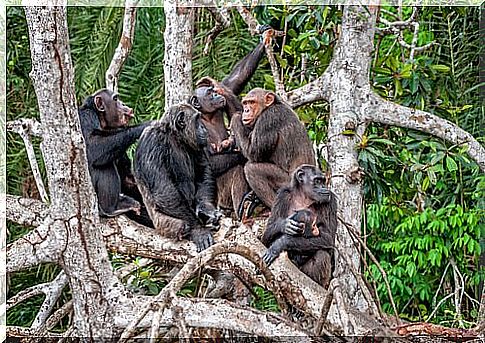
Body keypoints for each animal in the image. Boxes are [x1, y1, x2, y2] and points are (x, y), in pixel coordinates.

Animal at [78, 87, 150, 222]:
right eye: (115, 99)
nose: (123, 103)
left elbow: (127, 176)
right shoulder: (85, 118)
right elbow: (93, 146)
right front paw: (146, 125)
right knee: (104, 166)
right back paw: (111, 208)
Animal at [134, 103, 221, 251]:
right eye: (197, 119)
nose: (204, 127)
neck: (175, 136)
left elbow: (203, 171)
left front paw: (206, 210)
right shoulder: (151, 142)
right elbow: (164, 190)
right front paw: (199, 230)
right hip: (161, 224)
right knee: (181, 224)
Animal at [188, 26, 272, 216]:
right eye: (209, 93)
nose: (216, 94)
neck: (207, 115)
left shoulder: (226, 93)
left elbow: (235, 80)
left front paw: (264, 38)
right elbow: (208, 161)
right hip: (221, 197)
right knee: (235, 168)